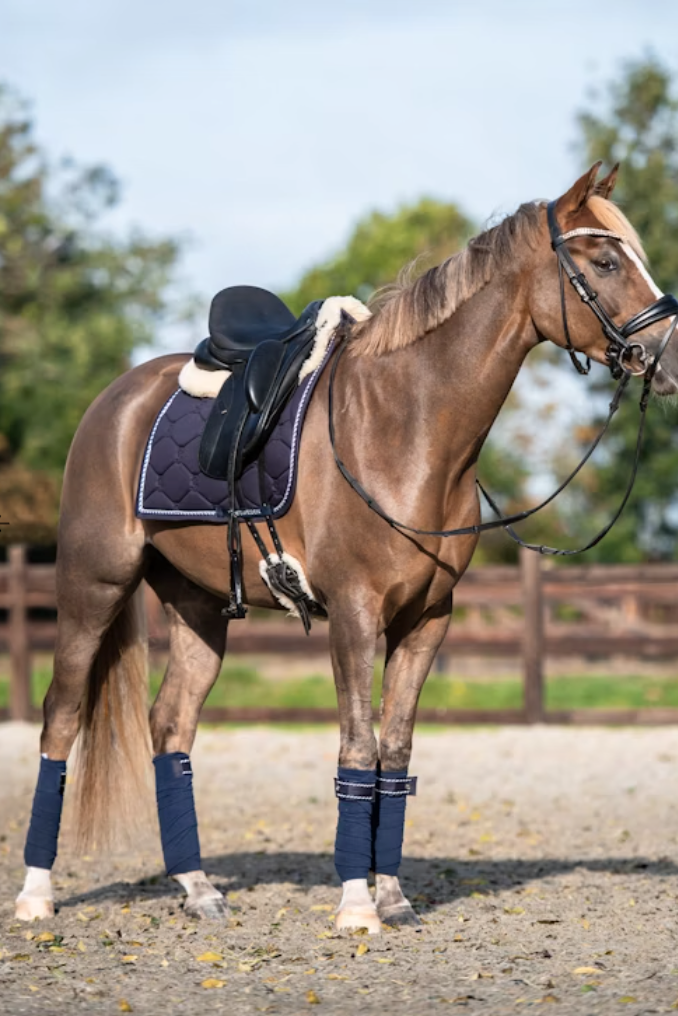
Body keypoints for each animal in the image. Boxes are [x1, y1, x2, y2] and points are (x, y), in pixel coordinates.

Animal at [14, 162, 678, 930]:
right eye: (604, 262)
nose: (670, 359)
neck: (406, 427)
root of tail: (113, 400)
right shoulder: (355, 616)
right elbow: (357, 745)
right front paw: (357, 905)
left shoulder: (426, 622)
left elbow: (396, 750)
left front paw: (391, 895)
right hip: (91, 587)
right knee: (60, 717)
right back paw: (36, 894)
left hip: (198, 608)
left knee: (171, 725)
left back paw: (199, 887)